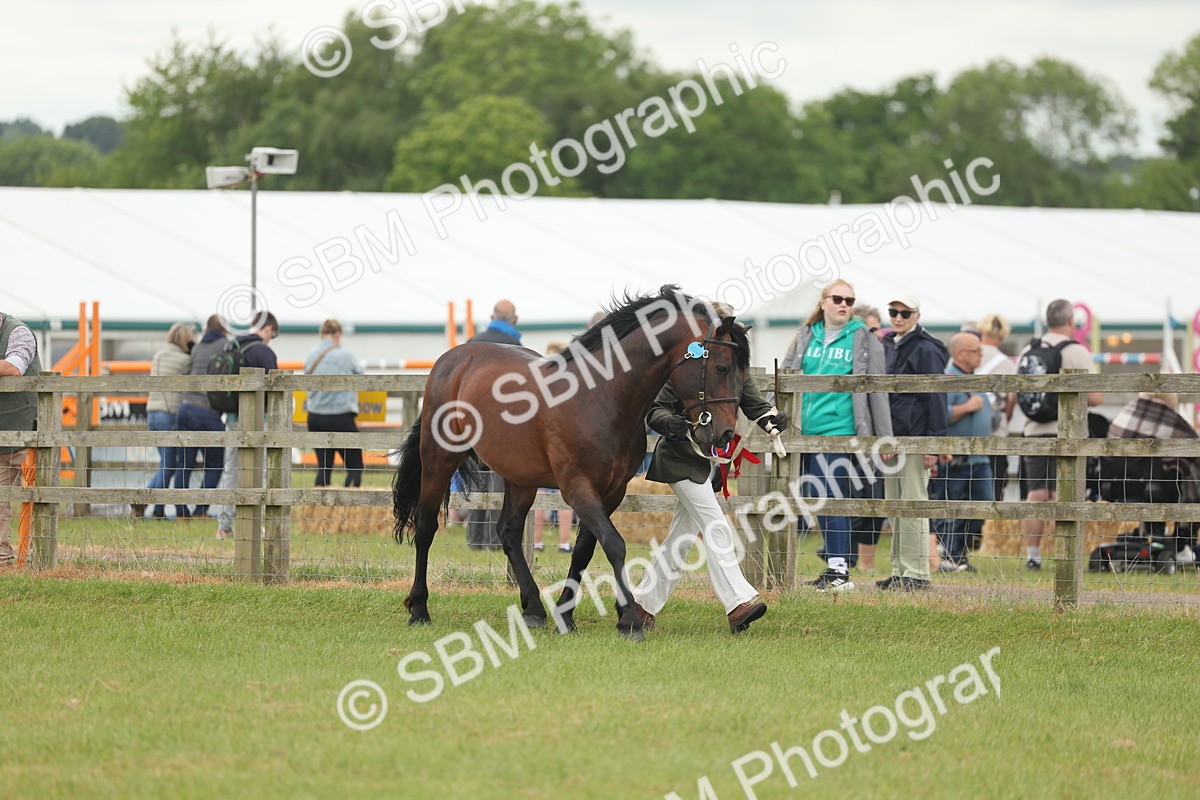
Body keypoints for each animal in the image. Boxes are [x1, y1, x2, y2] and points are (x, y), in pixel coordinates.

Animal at [392, 285, 751, 639]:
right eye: (721, 368)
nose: (724, 433)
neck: (600, 398)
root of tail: (452, 360)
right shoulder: (577, 487)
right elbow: (614, 545)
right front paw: (629, 620)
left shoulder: (612, 491)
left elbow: (584, 550)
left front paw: (567, 615)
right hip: (438, 461)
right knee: (426, 526)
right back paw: (419, 608)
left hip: (521, 479)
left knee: (508, 531)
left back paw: (534, 608)